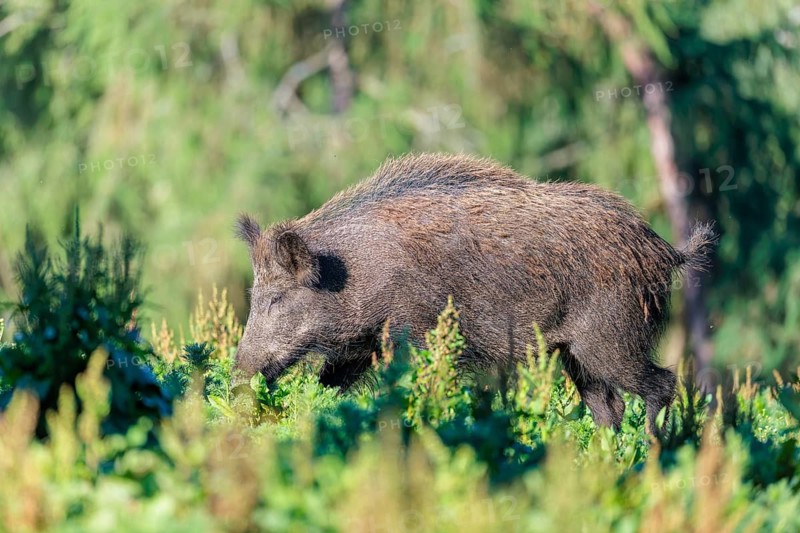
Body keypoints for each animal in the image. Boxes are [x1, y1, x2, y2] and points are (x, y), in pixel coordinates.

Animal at [234, 153, 716, 433]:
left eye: (277, 299)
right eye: (254, 297)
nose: (237, 378)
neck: (353, 272)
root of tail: (664, 250)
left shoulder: (416, 334)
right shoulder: (359, 349)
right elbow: (328, 386)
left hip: (610, 340)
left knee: (661, 384)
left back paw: (651, 450)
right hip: (576, 355)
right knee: (608, 407)